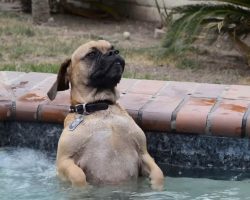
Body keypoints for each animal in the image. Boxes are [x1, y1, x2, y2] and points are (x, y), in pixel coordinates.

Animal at [47, 40, 164, 189]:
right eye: (91, 54)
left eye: (113, 49)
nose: (113, 53)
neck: (102, 107)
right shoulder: (64, 160)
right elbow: (78, 176)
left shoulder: (144, 154)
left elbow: (158, 174)